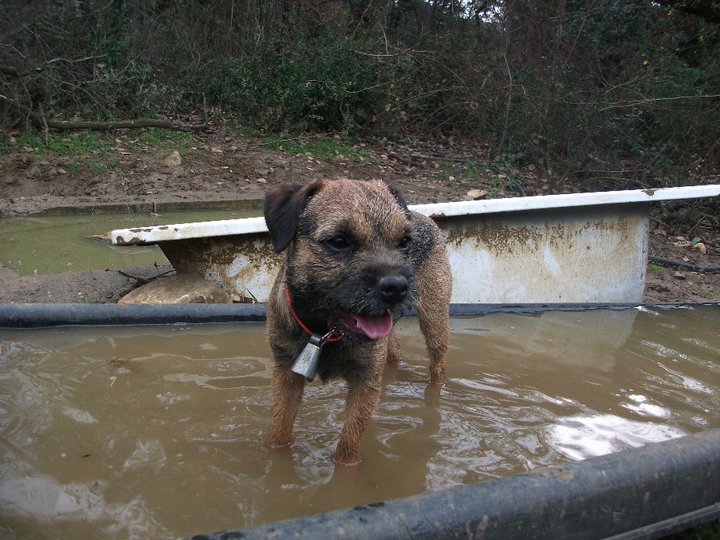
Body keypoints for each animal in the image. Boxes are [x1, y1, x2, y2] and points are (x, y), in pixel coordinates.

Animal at [263, 179, 451, 466]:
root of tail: (423, 216)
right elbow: (279, 431)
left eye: (404, 242)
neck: (324, 331)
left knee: (437, 365)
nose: (397, 287)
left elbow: (348, 446)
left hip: (435, 319)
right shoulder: (286, 373)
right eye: (339, 241)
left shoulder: (365, 383)